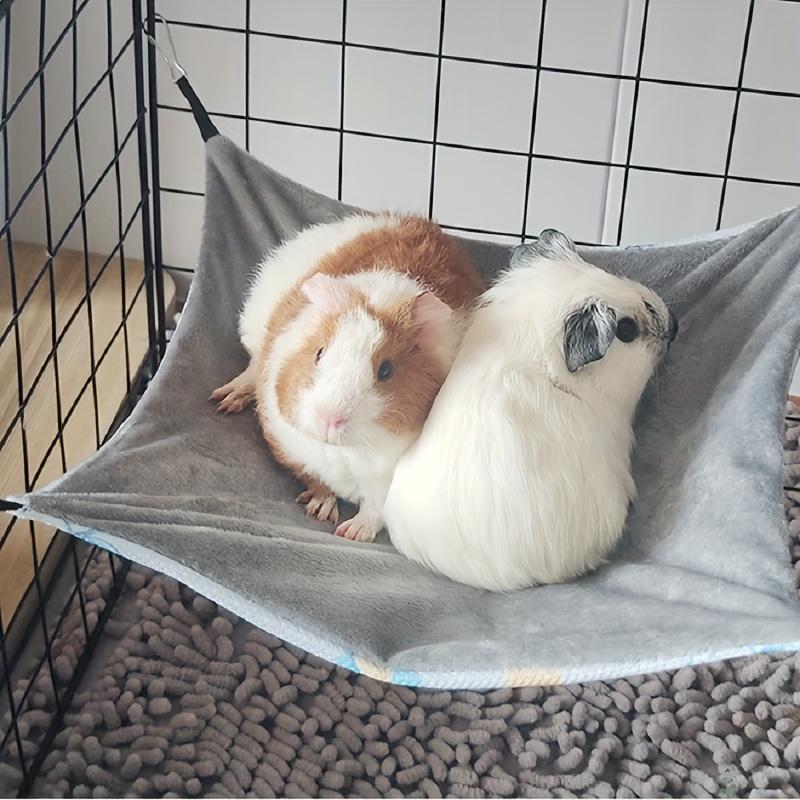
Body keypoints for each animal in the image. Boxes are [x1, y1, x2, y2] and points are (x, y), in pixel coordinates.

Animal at [211, 212, 485, 542]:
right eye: (319, 353)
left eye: (385, 370)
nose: (328, 419)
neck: (342, 453)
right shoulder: (291, 448)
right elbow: (314, 480)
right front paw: (320, 511)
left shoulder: (386, 484)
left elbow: (375, 509)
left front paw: (351, 533)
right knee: (250, 368)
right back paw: (224, 400)